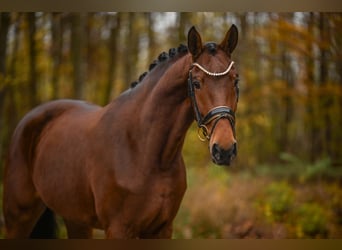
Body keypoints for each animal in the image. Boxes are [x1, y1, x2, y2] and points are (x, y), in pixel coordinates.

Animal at [2, 24, 239, 238]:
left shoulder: (162, 229)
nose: (224, 149)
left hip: (76, 219)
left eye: (235, 81)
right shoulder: (118, 229)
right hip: (18, 218)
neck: (145, 150)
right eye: (197, 83)